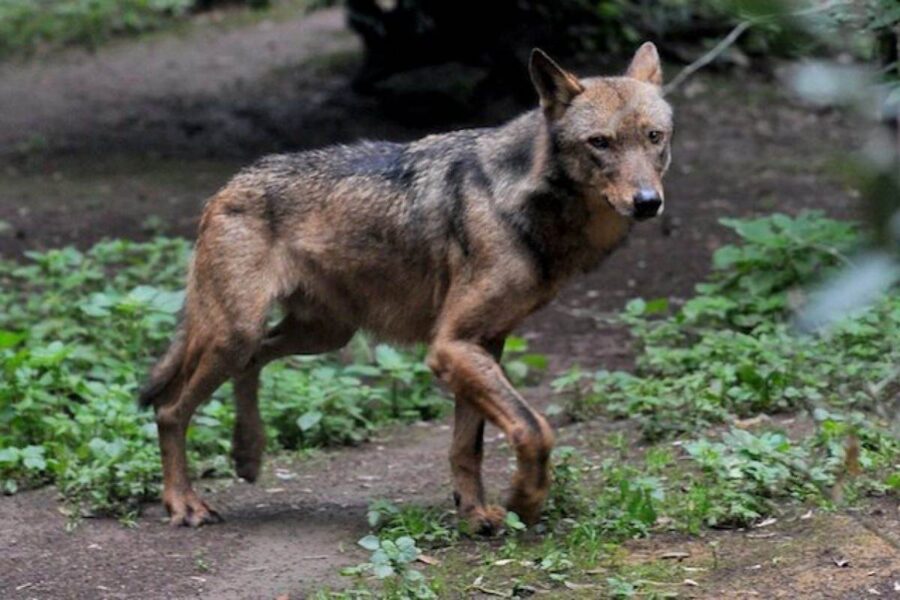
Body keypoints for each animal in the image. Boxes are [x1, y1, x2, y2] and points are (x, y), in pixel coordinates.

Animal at [141, 44, 672, 532]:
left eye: (654, 137)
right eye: (599, 142)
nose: (648, 202)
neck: (522, 200)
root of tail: (226, 186)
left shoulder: (483, 344)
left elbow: (468, 445)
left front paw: (475, 514)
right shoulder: (452, 346)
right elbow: (535, 428)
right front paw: (523, 502)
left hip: (321, 335)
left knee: (250, 364)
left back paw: (247, 453)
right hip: (237, 332)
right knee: (169, 410)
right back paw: (184, 503)